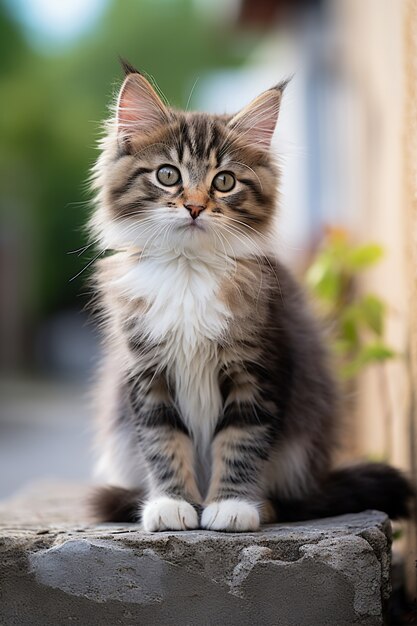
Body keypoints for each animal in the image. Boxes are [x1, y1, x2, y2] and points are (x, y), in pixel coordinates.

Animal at [88, 61, 412, 528]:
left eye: (224, 182)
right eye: (168, 175)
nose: (195, 207)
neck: (189, 270)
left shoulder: (259, 366)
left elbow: (241, 441)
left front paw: (232, 505)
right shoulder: (146, 372)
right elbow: (163, 441)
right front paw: (171, 503)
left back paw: (265, 506)